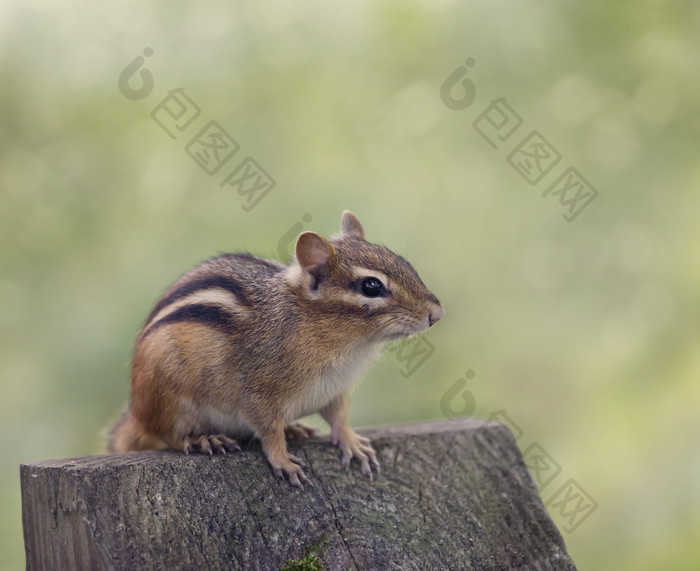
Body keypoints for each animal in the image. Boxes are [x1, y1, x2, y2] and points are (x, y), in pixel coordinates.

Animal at [106, 210, 446, 488]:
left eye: (405, 264)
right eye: (371, 286)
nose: (437, 313)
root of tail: (137, 412)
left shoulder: (336, 390)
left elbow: (338, 417)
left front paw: (350, 442)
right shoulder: (257, 392)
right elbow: (268, 431)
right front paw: (282, 459)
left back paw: (295, 429)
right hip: (167, 398)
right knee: (166, 435)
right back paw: (205, 439)